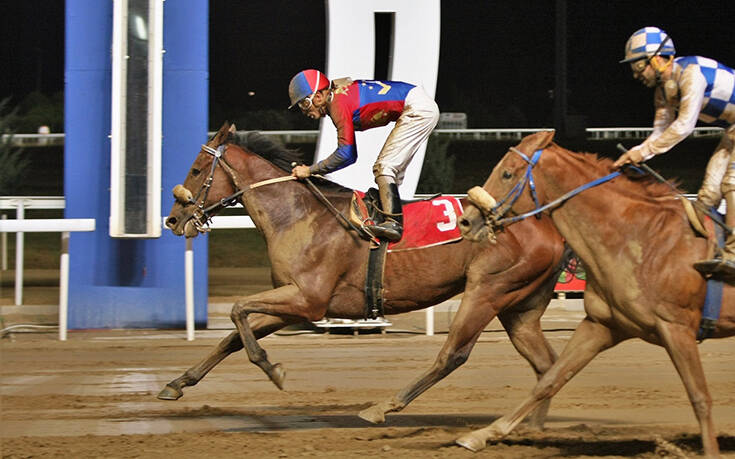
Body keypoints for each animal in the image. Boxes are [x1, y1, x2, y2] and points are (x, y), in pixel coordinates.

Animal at [158, 122, 568, 428]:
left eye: (196, 169)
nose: (173, 219)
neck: (298, 215)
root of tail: (545, 224)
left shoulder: (307, 299)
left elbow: (237, 310)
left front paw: (272, 369)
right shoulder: (291, 300)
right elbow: (232, 335)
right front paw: (176, 383)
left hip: (488, 290)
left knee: (454, 354)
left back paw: (383, 407)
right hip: (518, 305)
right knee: (546, 364)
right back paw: (529, 426)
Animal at [460, 131, 735, 458]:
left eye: (507, 173)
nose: (466, 220)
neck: (641, 238)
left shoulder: (676, 327)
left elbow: (699, 396)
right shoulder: (603, 324)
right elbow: (551, 379)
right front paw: (481, 434)